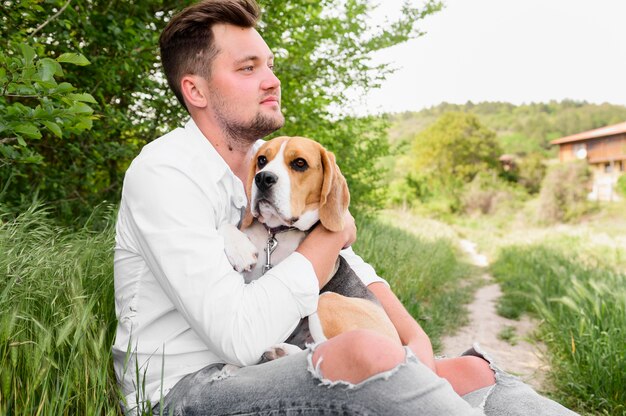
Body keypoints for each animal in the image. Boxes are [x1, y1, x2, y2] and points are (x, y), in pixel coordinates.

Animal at [219, 137, 398, 360]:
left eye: (299, 163)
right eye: (262, 160)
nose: (262, 178)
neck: (276, 234)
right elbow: (224, 226)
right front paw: (240, 251)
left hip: (327, 299)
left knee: (322, 347)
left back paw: (282, 351)